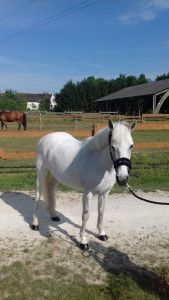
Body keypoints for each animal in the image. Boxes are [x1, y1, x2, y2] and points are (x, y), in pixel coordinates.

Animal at [31, 119, 137, 248]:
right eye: (112, 146)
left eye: (131, 146)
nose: (122, 179)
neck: (98, 162)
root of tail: (45, 138)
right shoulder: (87, 193)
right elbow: (85, 216)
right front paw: (83, 241)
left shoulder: (104, 193)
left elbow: (101, 212)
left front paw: (102, 234)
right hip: (41, 174)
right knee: (37, 195)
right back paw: (35, 224)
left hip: (56, 175)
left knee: (51, 190)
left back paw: (54, 215)